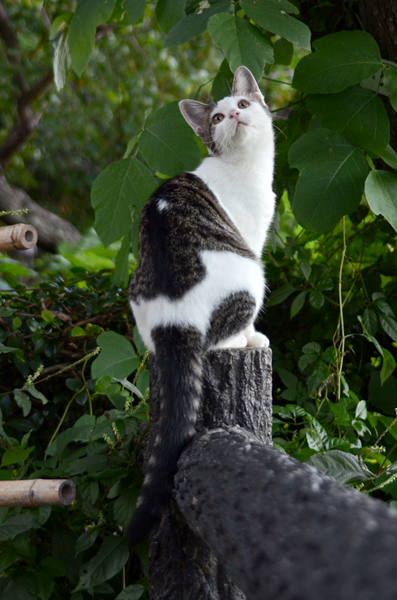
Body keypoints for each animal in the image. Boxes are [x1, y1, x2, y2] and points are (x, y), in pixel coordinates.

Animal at [127, 65, 276, 548]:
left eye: (243, 104)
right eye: (216, 118)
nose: (236, 115)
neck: (245, 168)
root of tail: (175, 318)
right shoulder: (253, 236)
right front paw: (255, 338)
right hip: (252, 273)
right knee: (220, 338)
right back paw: (245, 340)